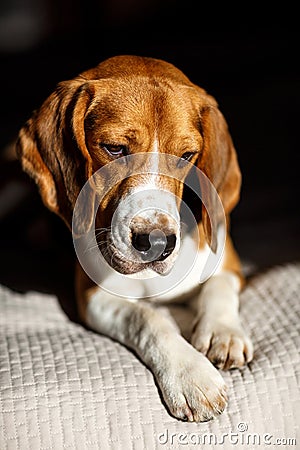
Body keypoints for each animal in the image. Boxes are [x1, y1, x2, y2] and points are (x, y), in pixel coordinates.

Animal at [17, 55, 253, 422]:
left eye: (186, 156)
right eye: (114, 149)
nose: (156, 243)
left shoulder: (228, 262)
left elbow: (218, 287)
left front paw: (223, 333)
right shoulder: (94, 298)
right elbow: (148, 318)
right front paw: (190, 374)